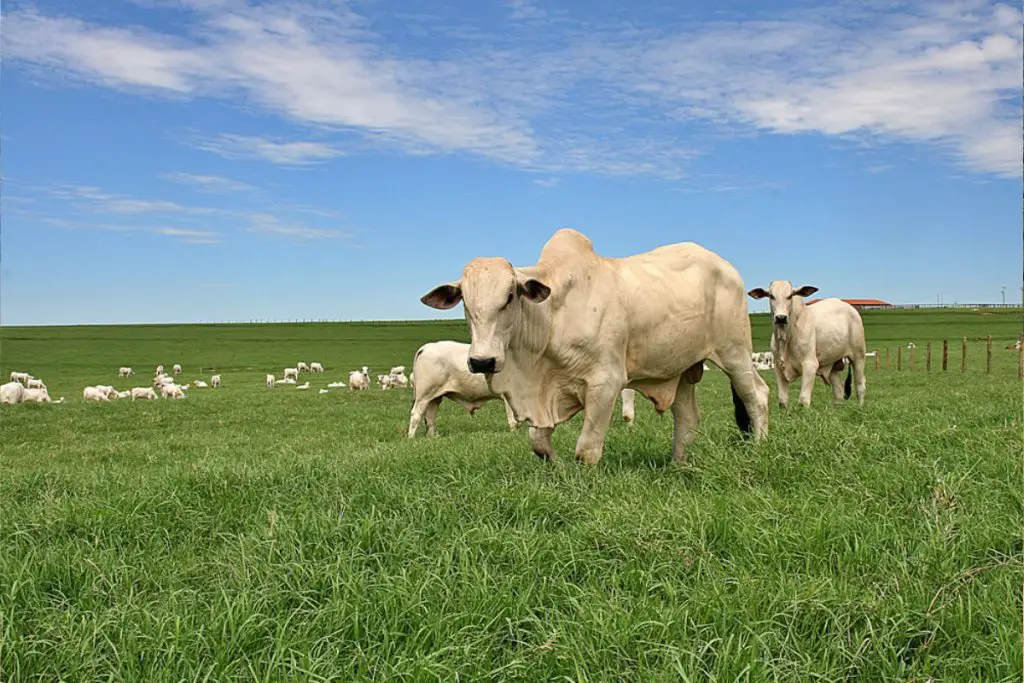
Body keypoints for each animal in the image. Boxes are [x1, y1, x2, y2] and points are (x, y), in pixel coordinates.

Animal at [417, 229, 770, 464]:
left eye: (509, 296)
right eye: (465, 301)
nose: (482, 362)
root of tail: (726, 266)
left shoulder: (606, 383)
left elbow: (586, 449)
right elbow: (538, 441)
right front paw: (557, 468)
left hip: (735, 353)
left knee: (757, 396)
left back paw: (759, 447)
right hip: (683, 370)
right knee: (687, 419)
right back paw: (678, 464)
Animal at [749, 280, 868, 409]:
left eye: (790, 296)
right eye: (771, 296)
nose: (781, 317)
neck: (786, 338)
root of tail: (850, 308)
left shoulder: (810, 364)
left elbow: (803, 400)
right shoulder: (778, 367)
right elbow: (783, 401)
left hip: (858, 356)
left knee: (860, 385)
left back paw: (860, 408)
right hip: (833, 364)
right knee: (838, 391)